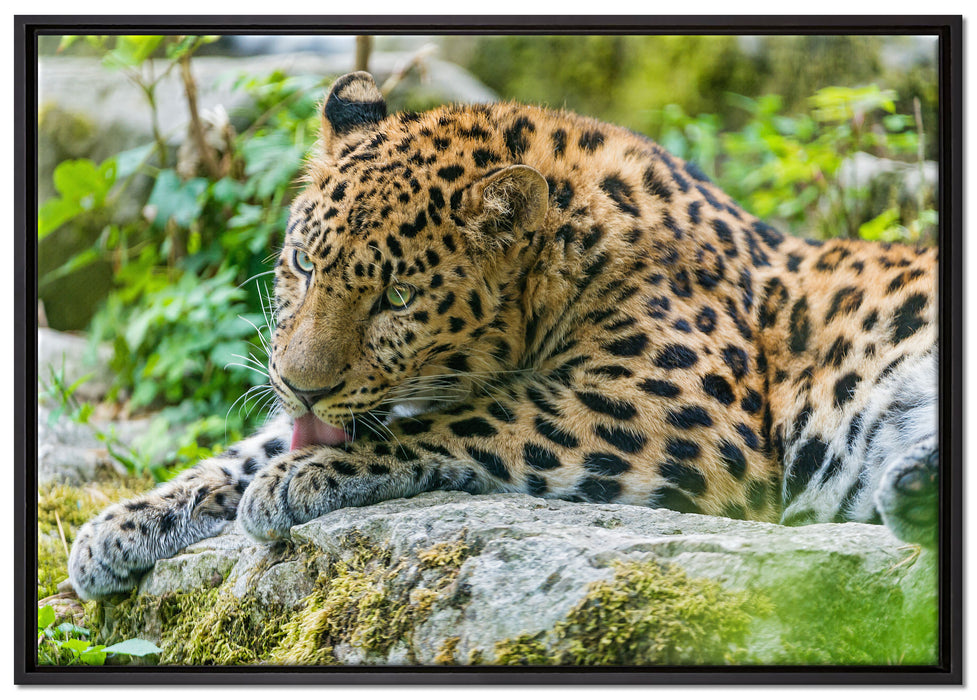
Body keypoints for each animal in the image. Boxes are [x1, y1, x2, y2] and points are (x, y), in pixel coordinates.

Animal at [67, 72, 939, 600]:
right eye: (305, 263)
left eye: (396, 297)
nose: (301, 385)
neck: (579, 255)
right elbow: (249, 449)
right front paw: (124, 523)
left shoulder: (681, 411)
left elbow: (482, 418)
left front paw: (301, 478)